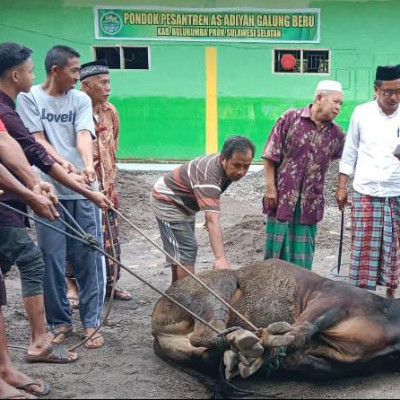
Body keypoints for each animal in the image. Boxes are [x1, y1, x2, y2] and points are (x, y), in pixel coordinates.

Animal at [151, 260, 400, 382]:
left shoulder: (350, 364)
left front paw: (271, 360)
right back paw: (244, 339)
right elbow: (299, 332)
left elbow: (308, 363)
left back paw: (240, 353)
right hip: (218, 285)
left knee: (208, 352)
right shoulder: (331, 299)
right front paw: (270, 342)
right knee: (204, 333)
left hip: (194, 352)